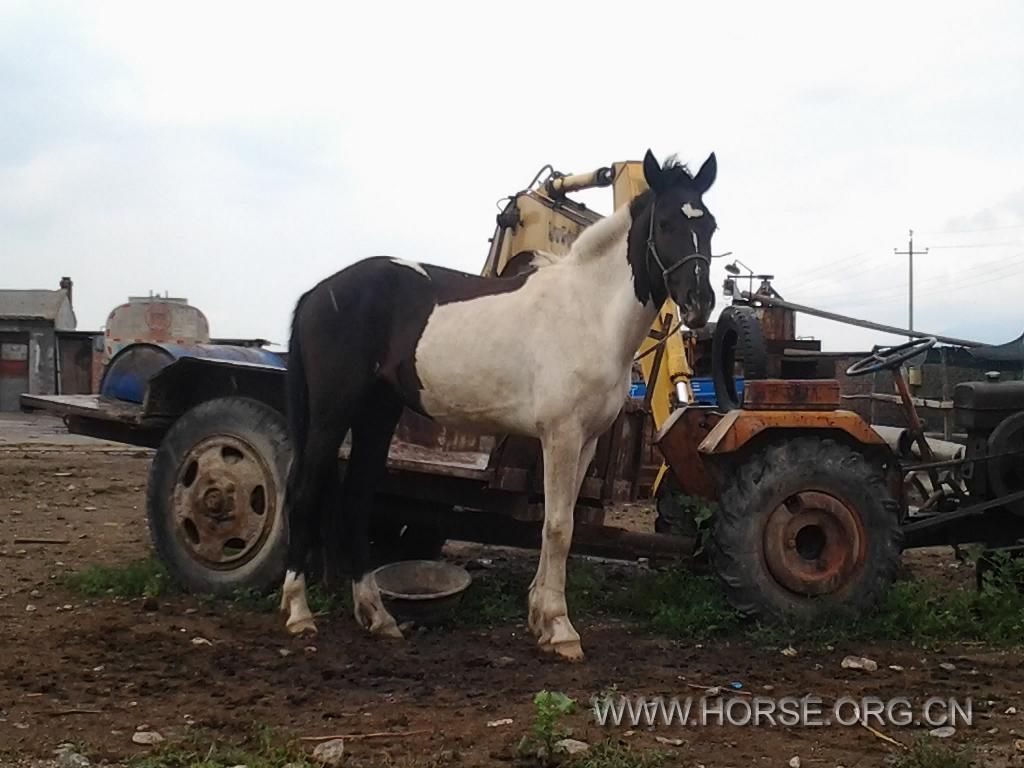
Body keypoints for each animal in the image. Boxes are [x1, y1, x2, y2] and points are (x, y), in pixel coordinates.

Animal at [276, 151, 716, 663]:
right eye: (665, 223)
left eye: (709, 226)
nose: (700, 303)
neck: (588, 312)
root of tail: (317, 294)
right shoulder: (561, 435)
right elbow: (560, 527)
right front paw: (561, 629)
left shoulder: (585, 440)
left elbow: (557, 525)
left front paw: (540, 620)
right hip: (331, 413)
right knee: (304, 491)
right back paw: (299, 614)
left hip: (376, 415)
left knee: (356, 499)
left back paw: (378, 618)